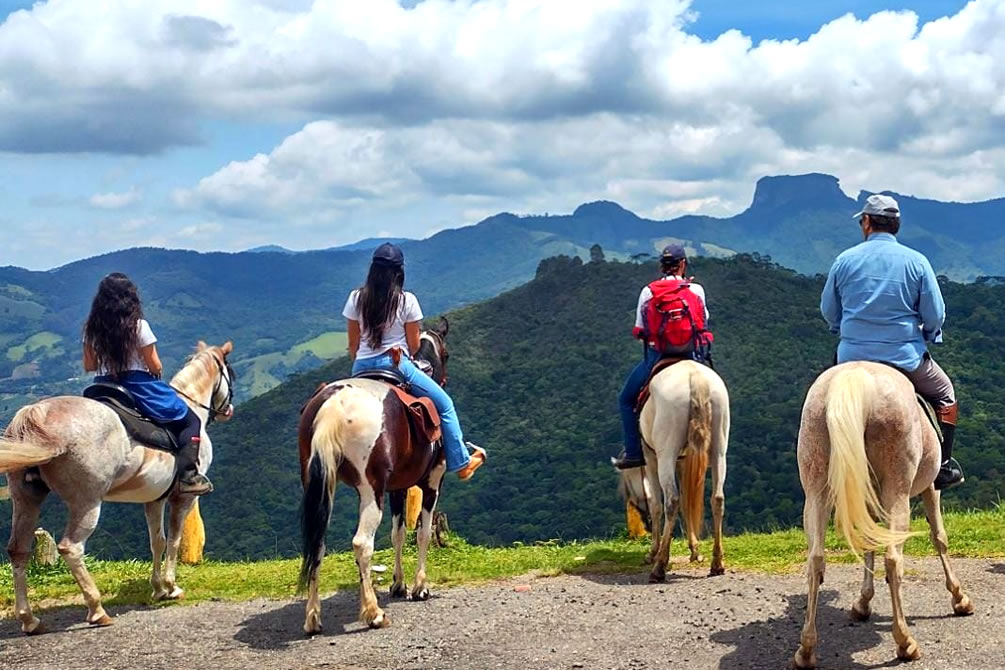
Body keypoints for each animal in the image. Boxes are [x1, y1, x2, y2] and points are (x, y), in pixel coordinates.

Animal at [0, 341, 236, 634]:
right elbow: (174, 539)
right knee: (71, 547)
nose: (228, 410)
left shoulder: (154, 499)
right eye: (230, 374)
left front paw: (158, 589)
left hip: (26, 498)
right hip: (87, 502)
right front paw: (171, 587)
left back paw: (29, 619)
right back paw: (97, 610)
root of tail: (35, 414)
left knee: (18, 550)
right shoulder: (182, 499)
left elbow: (157, 541)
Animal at [295, 319, 450, 634]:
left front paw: (398, 584)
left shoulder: (398, 488)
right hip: (370, 489)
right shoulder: (431, 483)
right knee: (362, 543)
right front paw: (420, 587)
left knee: (317, 542)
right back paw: (373, 613)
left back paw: (313, 618)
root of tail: (334, 403)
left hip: (319, 484)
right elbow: (424, 533)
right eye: (447, 355)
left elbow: (397, 534)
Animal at [611, 359, 731, 582]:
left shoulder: (650, 459)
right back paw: (717, 563)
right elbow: (687, 502)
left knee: (671, 501)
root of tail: (695, 378)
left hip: (665, 454)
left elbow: (656, 503)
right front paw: (695, 549)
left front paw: (653, 552)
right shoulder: (685, 461)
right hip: (719, 449)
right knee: (717, 499)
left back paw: (659, 566)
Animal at [791, 363, 972, 666]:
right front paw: (959, 598)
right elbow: (939, 537)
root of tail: (855, 377)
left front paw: (863, 603)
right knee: (893, 560)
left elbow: (868, 542)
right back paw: (905, 643)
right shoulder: (930, 489)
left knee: (815, 560)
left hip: (816, 486)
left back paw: (805, 651)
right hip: (897, 490)